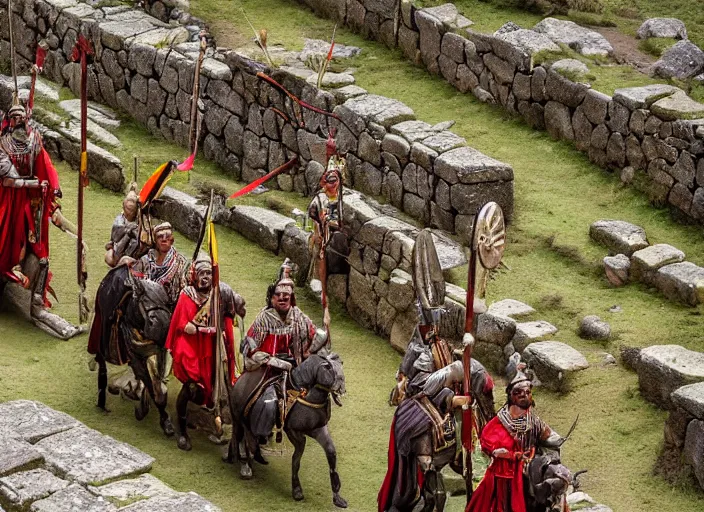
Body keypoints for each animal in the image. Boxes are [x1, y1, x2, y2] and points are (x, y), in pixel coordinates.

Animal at [87, 264, 175, 436]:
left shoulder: (157, 350)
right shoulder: (135, 357)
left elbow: (157, 383)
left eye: (166, 301)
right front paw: (158, 417)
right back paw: (103, 400)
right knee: (102, 364)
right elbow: (151, 386)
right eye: (143, 299)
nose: (162, 327)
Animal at [224, 352, 348, 508]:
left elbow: (331, 453)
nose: (342, 388)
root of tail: (239, 381)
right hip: (239, 418)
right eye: (328, 368)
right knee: (242, 438)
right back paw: (244, 465)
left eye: (341, 365)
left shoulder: (318, 429)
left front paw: (337, 497)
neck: (306, 396)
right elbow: (296, 460)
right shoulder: (294, 432)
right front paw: (297, 490)